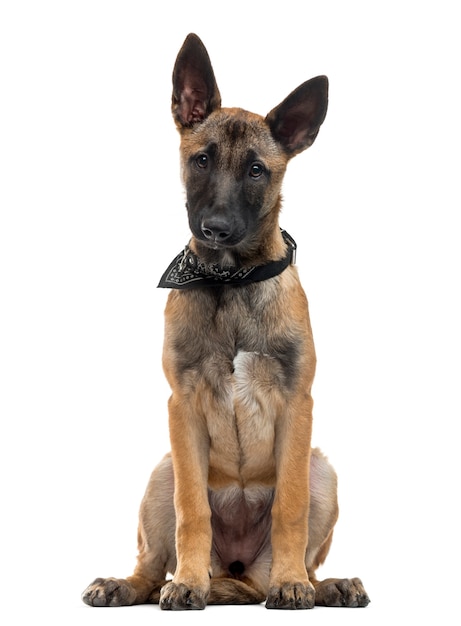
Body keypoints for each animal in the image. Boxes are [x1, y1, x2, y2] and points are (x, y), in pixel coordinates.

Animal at [82, 31, 370, 608]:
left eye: (257, 170)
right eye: (201, 161)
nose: (214, 228)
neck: (231, 280)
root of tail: (237, 573)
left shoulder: (297, 404)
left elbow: (289, 508)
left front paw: (291, 583)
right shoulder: (182, 407)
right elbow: (192, 511)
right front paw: (187, 582)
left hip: (321, 468)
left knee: (302, 553)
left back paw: (321, 584)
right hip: (161, 472)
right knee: (154, 566)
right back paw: (132, 584)